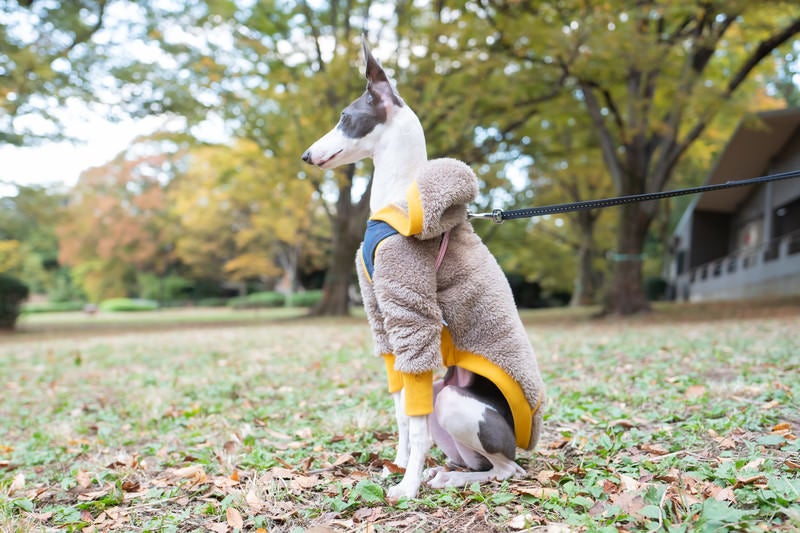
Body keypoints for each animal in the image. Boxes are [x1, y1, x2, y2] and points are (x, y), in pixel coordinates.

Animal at [300, 40, 544, 498]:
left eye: (344, 117)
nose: (306, 155)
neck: (397, 199)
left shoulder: (412, 315)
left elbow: (415, 427)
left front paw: (407, 486)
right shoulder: (384, 319)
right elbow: (402, 413)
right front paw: (397, 466)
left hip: (455, 403)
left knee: (508, 470)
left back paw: (450, 478)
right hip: (440, 393)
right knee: (469, 455)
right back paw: (443, 471)